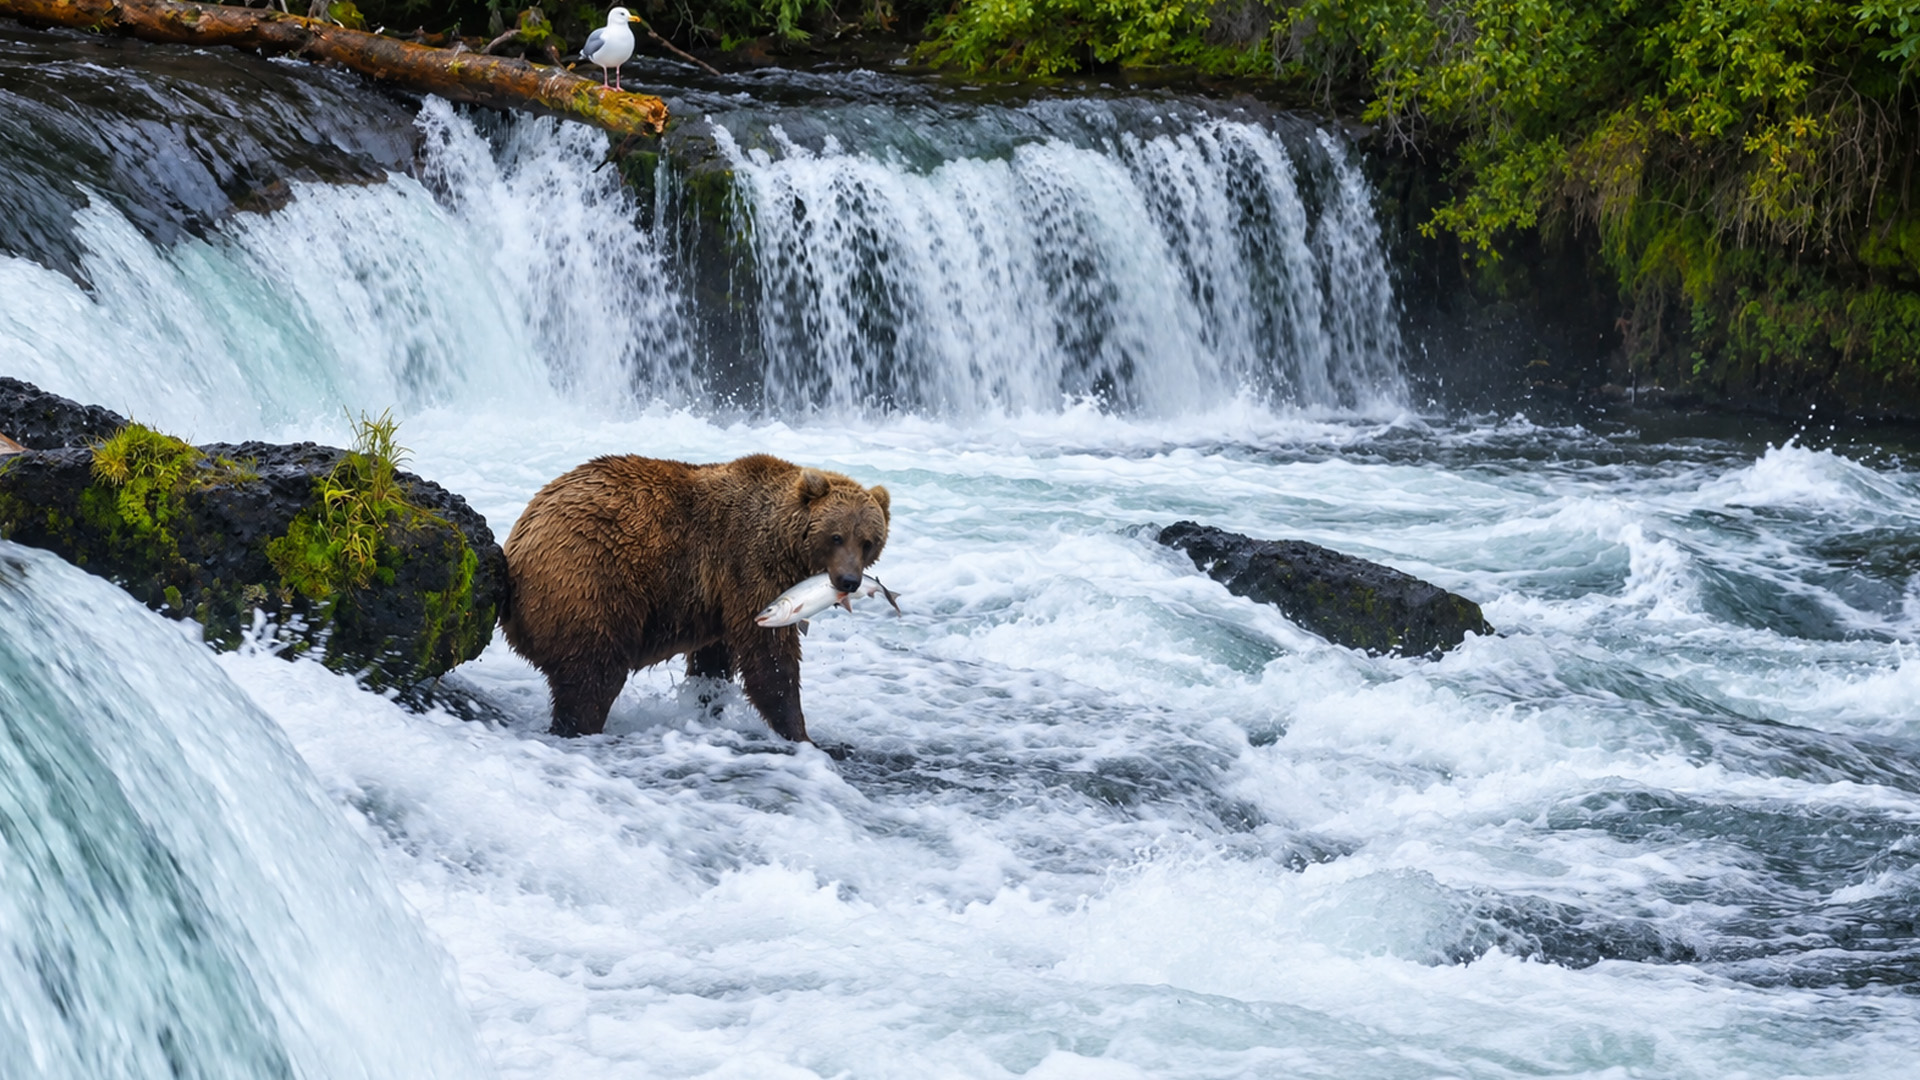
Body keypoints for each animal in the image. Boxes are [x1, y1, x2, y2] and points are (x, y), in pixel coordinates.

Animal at [500, 453, 891, 741]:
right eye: (836, 536)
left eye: (868, 541)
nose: (849, 580)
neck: (786, 546)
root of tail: (518, 543)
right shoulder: (749, 564)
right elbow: (769, 656)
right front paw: (803, 735)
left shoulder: (716, 596)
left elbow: (714, 658)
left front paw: (708, 703)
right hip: (589, 583)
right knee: (592, 676)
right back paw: (577, 727)